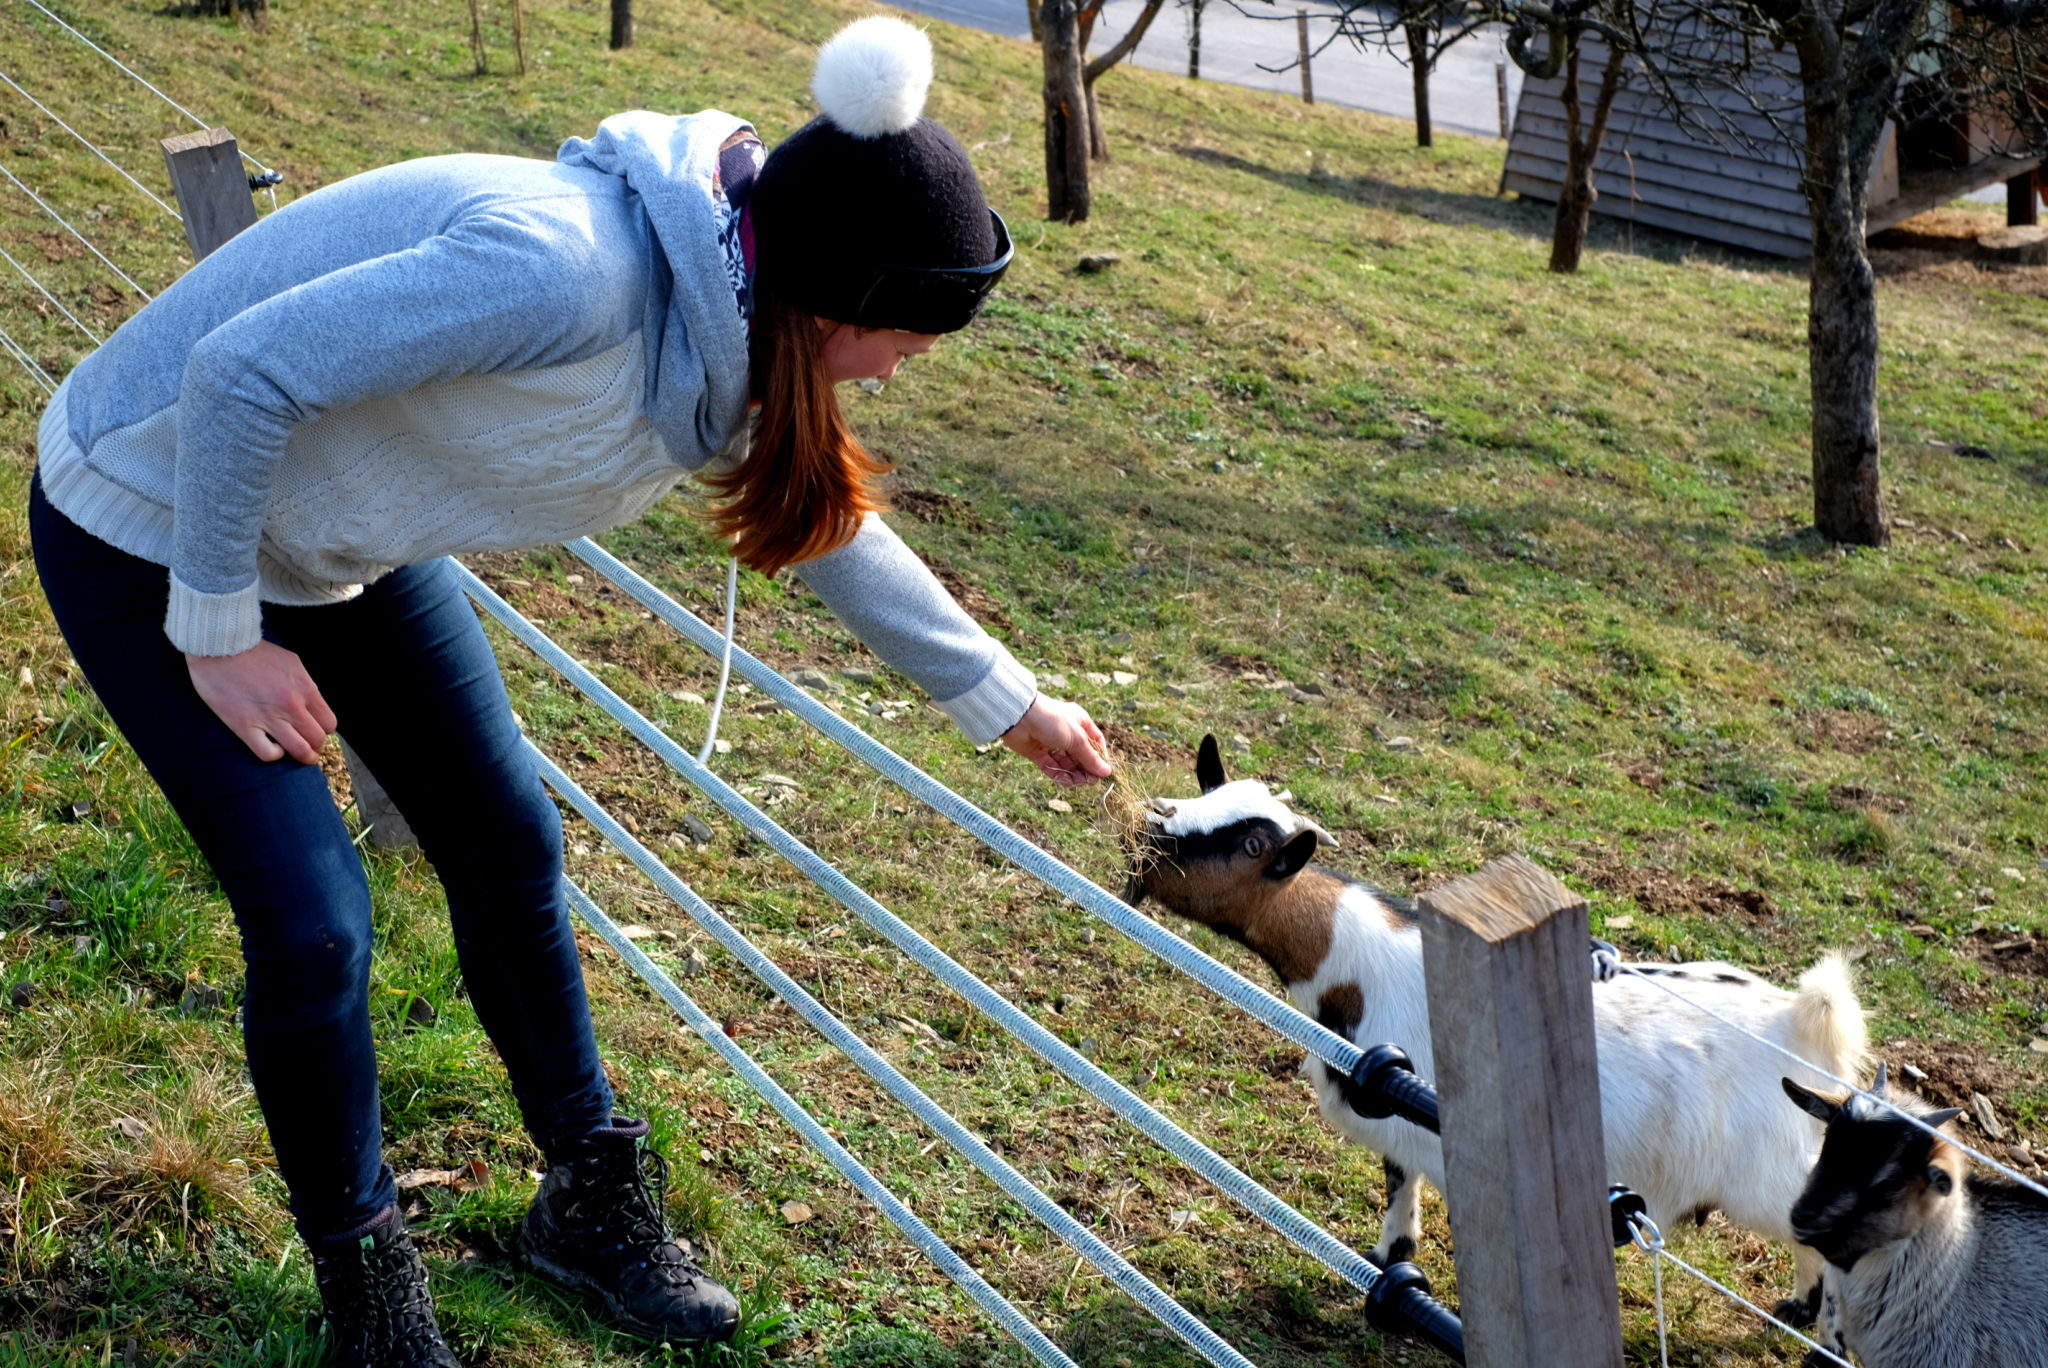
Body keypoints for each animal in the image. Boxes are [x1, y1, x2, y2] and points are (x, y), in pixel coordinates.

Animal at [1122, 737, 1875, 1327]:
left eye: (1251, 844)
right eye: (1205, 796)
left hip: (1777, 1172)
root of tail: (1800, 1026)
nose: (1151, 832)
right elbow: (1398, 1187)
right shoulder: (1399, 1113)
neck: (1357, 962)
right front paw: (1388, 1258)